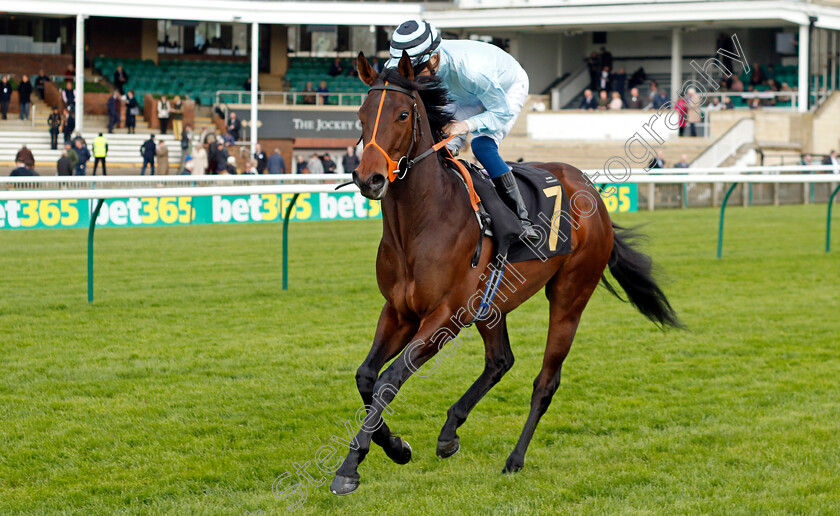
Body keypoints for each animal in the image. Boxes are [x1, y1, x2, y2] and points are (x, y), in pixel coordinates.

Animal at [328, 53, 684, 496]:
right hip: (493, 302)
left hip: (570, 295)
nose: (369, 178)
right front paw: (395, 446)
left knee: (545, 381)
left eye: (403, 114)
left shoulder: (446, 316)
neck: (421, 223)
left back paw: (515, 458)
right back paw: (450, 432)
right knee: (500, 360)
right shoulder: (398, 311)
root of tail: (592, 193)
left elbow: (390, 378)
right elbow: (366, 376)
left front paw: (350, 466)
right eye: (360, 115)